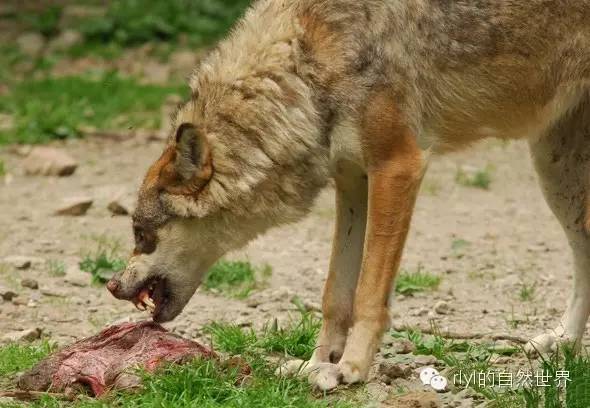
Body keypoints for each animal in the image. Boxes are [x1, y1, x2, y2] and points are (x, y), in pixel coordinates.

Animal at [106, 0, 590, 388]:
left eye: (140, 233)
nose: (110, 284)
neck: (308, 60)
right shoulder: (352, 179)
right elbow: (335, 293)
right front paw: (316, 363)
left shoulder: (398, 168)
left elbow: (368, 295)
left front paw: (351, 368)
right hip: (554, 175)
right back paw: (563, 343)